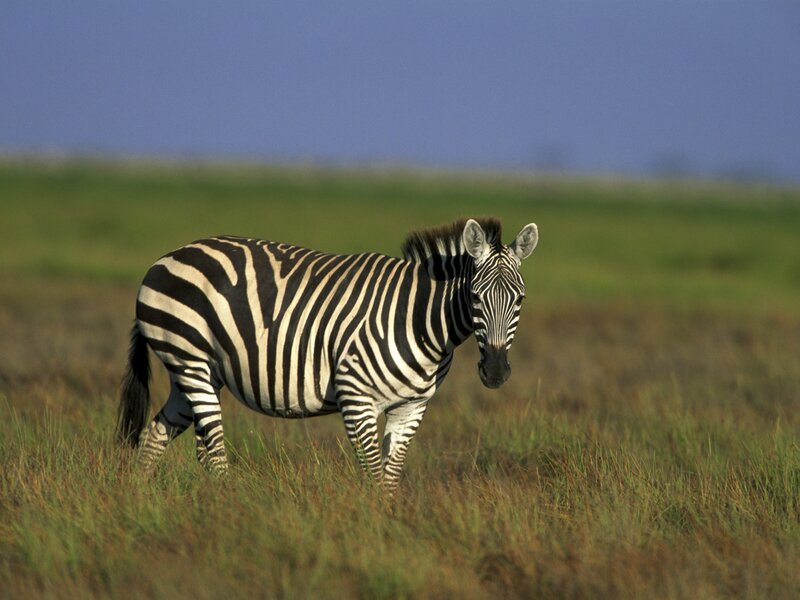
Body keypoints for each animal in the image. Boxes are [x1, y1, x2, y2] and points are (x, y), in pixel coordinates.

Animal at [117, 217, 538, 493]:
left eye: (519, 300)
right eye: (476, 297)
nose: (496, 372)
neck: (419, 319)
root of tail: (167, 258)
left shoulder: (412, 406)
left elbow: (390, 478)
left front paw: (392, 532)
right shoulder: (356, 398)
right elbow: (373, 474)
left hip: (196, 372)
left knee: (158, 435)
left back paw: (141, 501)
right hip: (189, 359)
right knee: (214, 454)